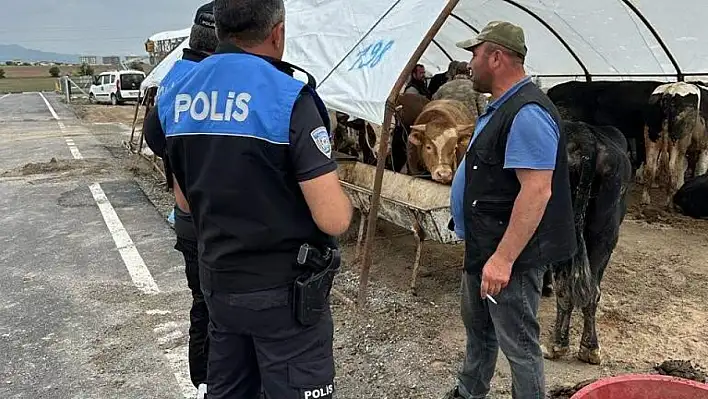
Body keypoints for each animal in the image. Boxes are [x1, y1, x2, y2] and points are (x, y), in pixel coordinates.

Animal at [544, 121, 632, 366]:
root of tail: (585, 138)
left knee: (566, 289)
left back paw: (558, 346)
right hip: (605, 232)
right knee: (591, 291)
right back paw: (589, 349)